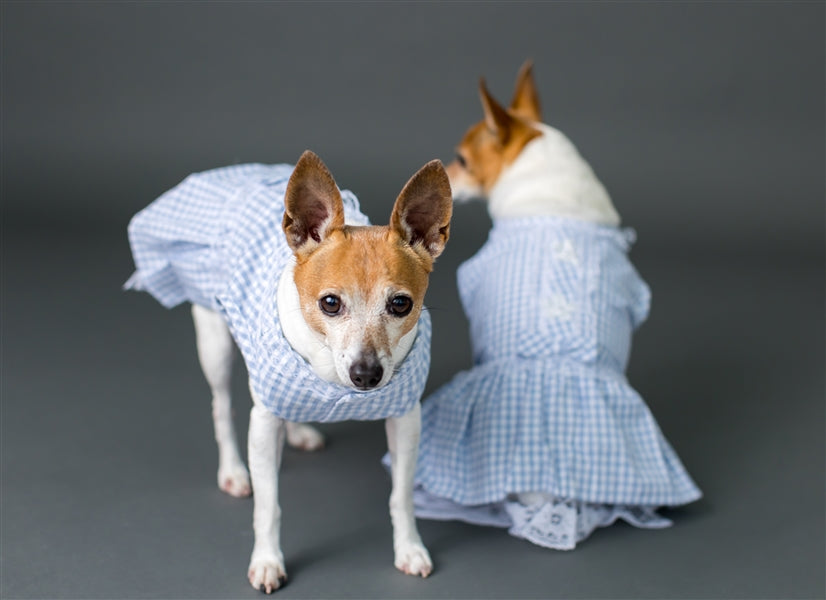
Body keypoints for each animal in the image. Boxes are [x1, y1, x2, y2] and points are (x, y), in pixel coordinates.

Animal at [125, 150, 454, 592]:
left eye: (401, 304)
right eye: (330, 303)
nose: (366, 374)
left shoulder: (406, 420)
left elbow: (400, 496)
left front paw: (409, 549)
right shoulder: (263, 424)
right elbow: (269, 506)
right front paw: (267, 560)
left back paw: (298, 430)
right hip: (214, 343)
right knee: (222, 406)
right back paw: (233, 470)